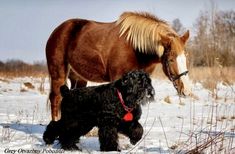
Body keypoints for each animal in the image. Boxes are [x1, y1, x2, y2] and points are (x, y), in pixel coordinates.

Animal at [46, 11, 191, 121]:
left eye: (186, 57)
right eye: (171, 59)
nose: (187, 90)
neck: (134, 48)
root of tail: (57, 31)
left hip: (78, 78)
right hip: (58, 75)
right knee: (55, 98)